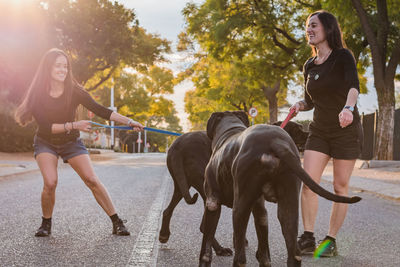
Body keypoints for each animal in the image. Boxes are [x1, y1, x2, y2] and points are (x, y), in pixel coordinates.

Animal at [198, 111, 360, 267]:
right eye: (298, 130)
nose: (309, 134)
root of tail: (275, 142)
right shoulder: (260, 210)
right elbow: (264, 252)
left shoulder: (212, 204)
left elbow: (206, 248)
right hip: (289, 208)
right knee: (294, 255)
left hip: (240, 209)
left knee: (240, 259)